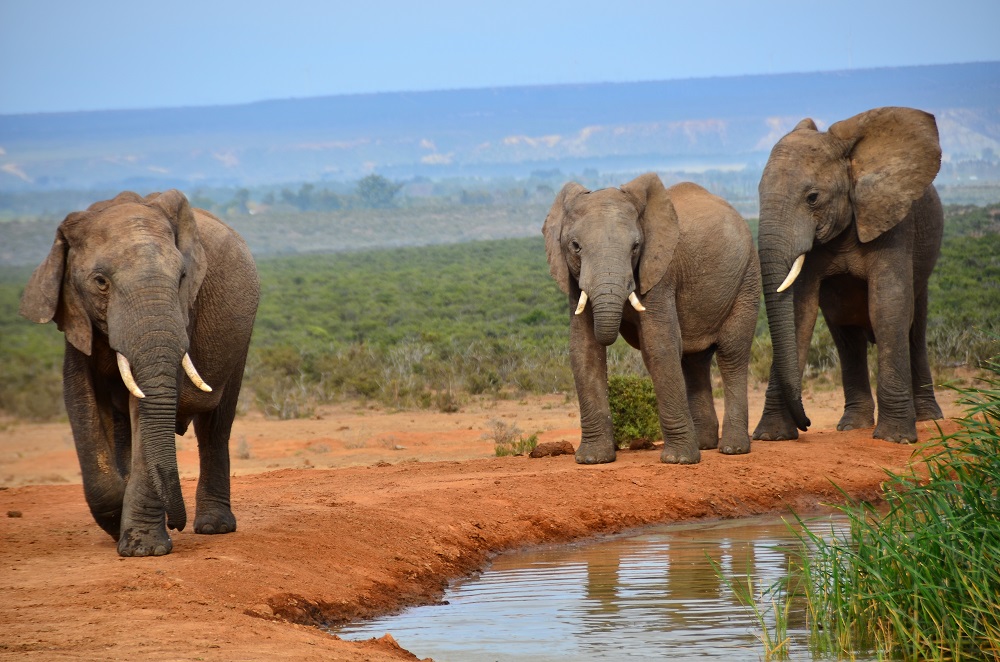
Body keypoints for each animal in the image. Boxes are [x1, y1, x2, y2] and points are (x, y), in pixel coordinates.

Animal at [20, 190, 259, 556]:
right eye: (100, 282)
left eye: (182, 278)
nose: (177, 524)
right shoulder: (75, 316)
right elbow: (80, 399)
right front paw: (119, 521)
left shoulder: (183, 313)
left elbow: (147, 409)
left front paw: (142, 549)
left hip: (240, 339)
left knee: (215, 426)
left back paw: (214, 527)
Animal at [543, 173, 760, 465]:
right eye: (575, 247)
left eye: (636, 247)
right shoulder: (572, 279)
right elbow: (584, 349)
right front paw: (592, 459)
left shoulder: (661, 272)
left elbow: (659, 345)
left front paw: (678, 460)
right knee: (694, 361)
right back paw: (705, 444)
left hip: (748, 275)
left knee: (731, 353)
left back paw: (732, 449)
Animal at [753, 106, 944, 444]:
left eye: (812, 197)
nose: (807, 423)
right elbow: (800, 314)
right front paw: (771, 436)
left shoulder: (893, 222)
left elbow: (888, 307)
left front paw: (895, 439)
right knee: (846, 334)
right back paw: (853, 425)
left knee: (914, 328)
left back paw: (928, 419)